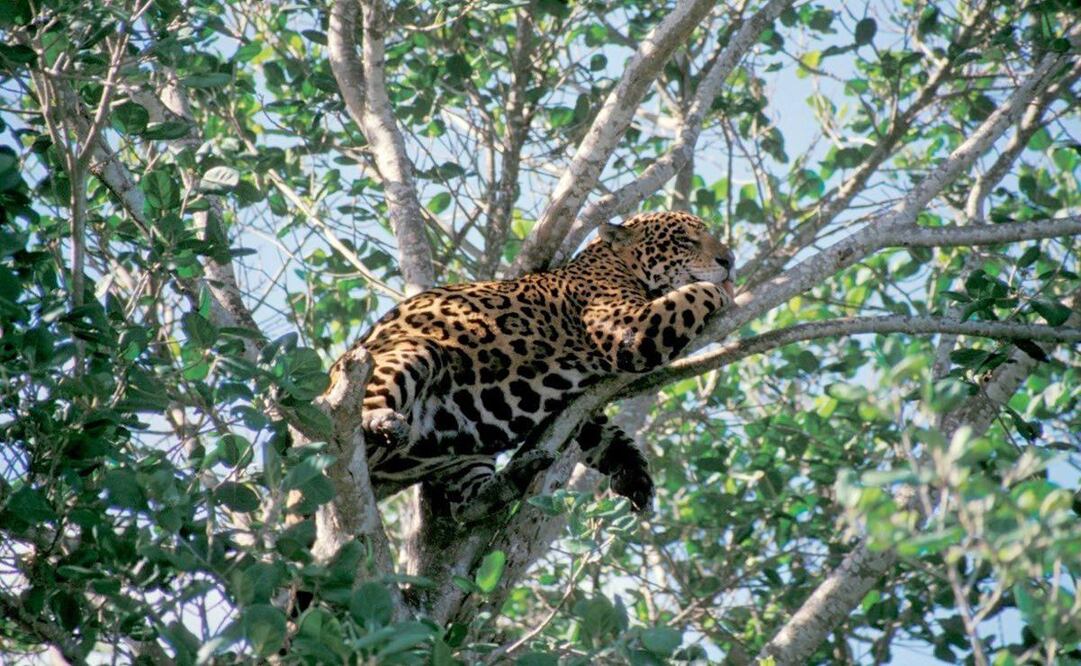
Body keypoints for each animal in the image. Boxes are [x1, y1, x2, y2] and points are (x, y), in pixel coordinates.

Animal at [332, 211, 736, 522]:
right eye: (684, 240)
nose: (729, 260)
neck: (612, 262)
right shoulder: (627, 324)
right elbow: (691, 294)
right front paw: (723, 291)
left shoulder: (581, 407)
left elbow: (609, 434)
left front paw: (635, 475)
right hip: (411, 352)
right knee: (359, 412)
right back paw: (379, 421)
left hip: (461, 449)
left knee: (465, 507)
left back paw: (510, 480)